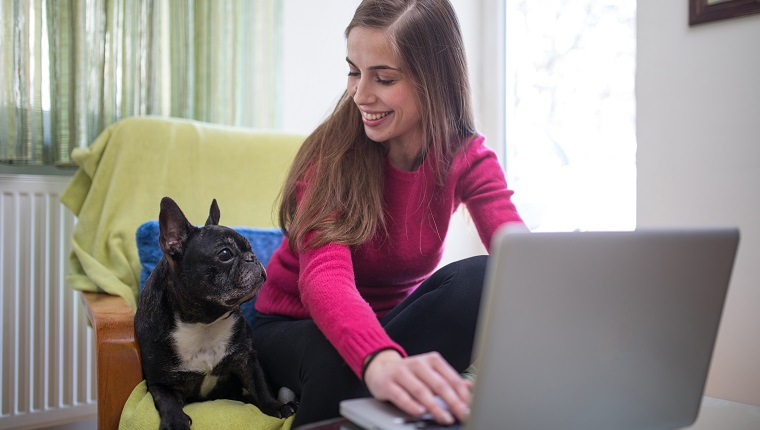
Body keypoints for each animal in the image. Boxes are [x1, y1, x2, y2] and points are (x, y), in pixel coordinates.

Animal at [134, 197, 294, 428]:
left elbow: (259, 384)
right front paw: (175, 421)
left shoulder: (247, 358)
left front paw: (275, 406)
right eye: (225, 254)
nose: (252, 257)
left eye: (250, 247)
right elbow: (167, 400)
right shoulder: (159, 382)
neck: (203, 323)